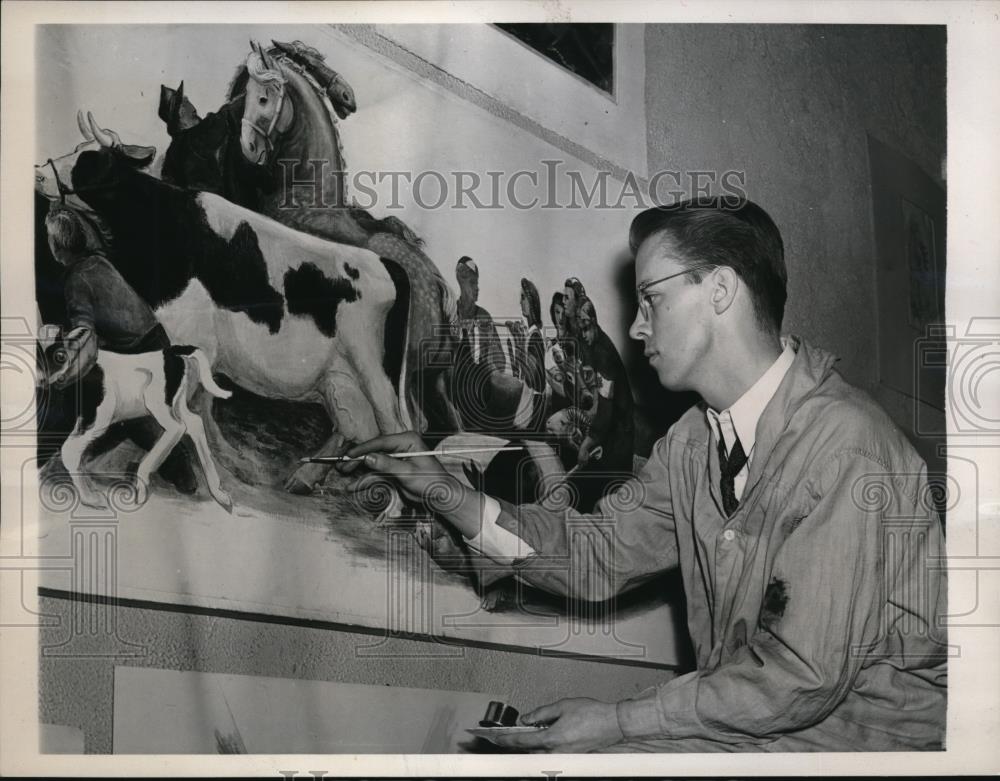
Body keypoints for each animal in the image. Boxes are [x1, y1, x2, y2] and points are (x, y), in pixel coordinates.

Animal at [35, 112, 408, 490]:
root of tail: (387, 264)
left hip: (375, 372)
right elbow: (200, 407)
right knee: (354, 425)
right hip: (338, 378)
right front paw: (225, 464)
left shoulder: (190, 336)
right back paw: (305, 476)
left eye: (88, 161)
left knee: (393, 428)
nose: (38, 172)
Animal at [40, 336, 232, 512]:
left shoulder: (95, 418)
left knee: (177, 427)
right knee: (194, 423)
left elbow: (69, 451)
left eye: (59, 356)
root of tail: (170, 352)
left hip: (155, 404)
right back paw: (218, 492)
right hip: (175, 404)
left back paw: (142, 481)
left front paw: (90, 498)